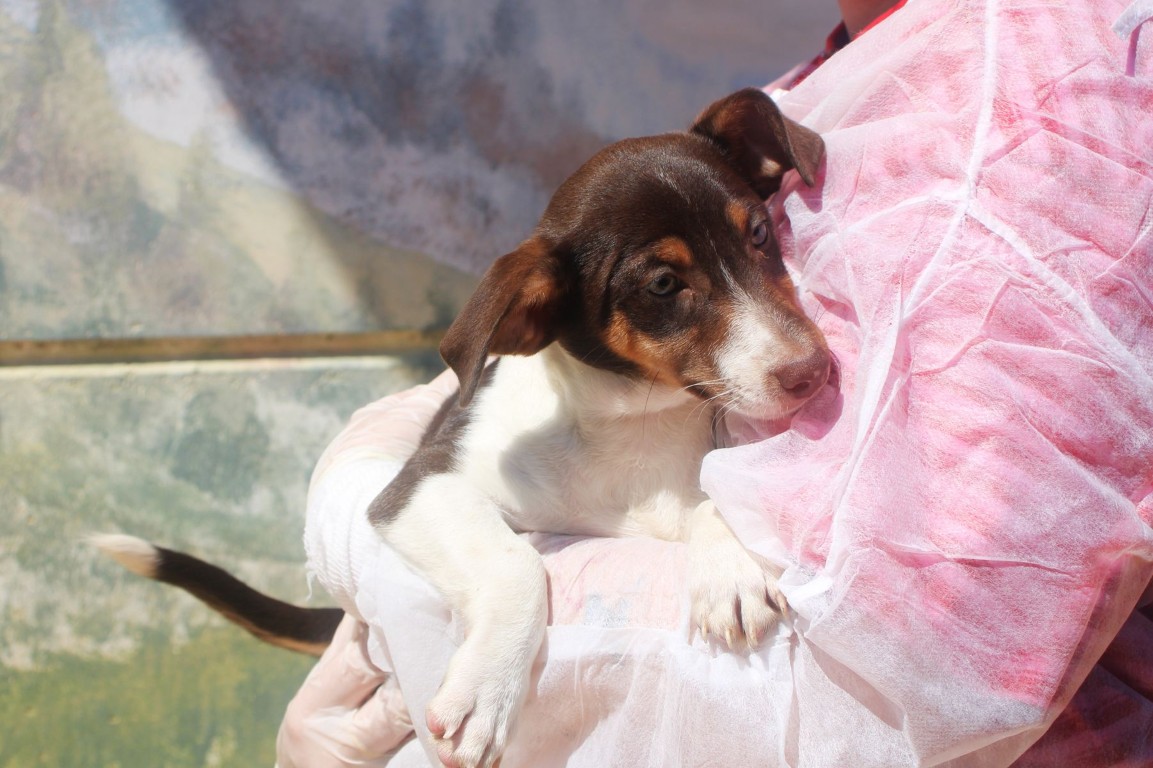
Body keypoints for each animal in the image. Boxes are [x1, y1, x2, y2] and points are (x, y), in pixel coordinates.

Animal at [97, 88, 830, 768]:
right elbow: (516, 565)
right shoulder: (414, 488)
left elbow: (717, 488)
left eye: (759, 233)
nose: (814, 370)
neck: (636, 424)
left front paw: (729, 568)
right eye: (661, 284)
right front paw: (486, 692)